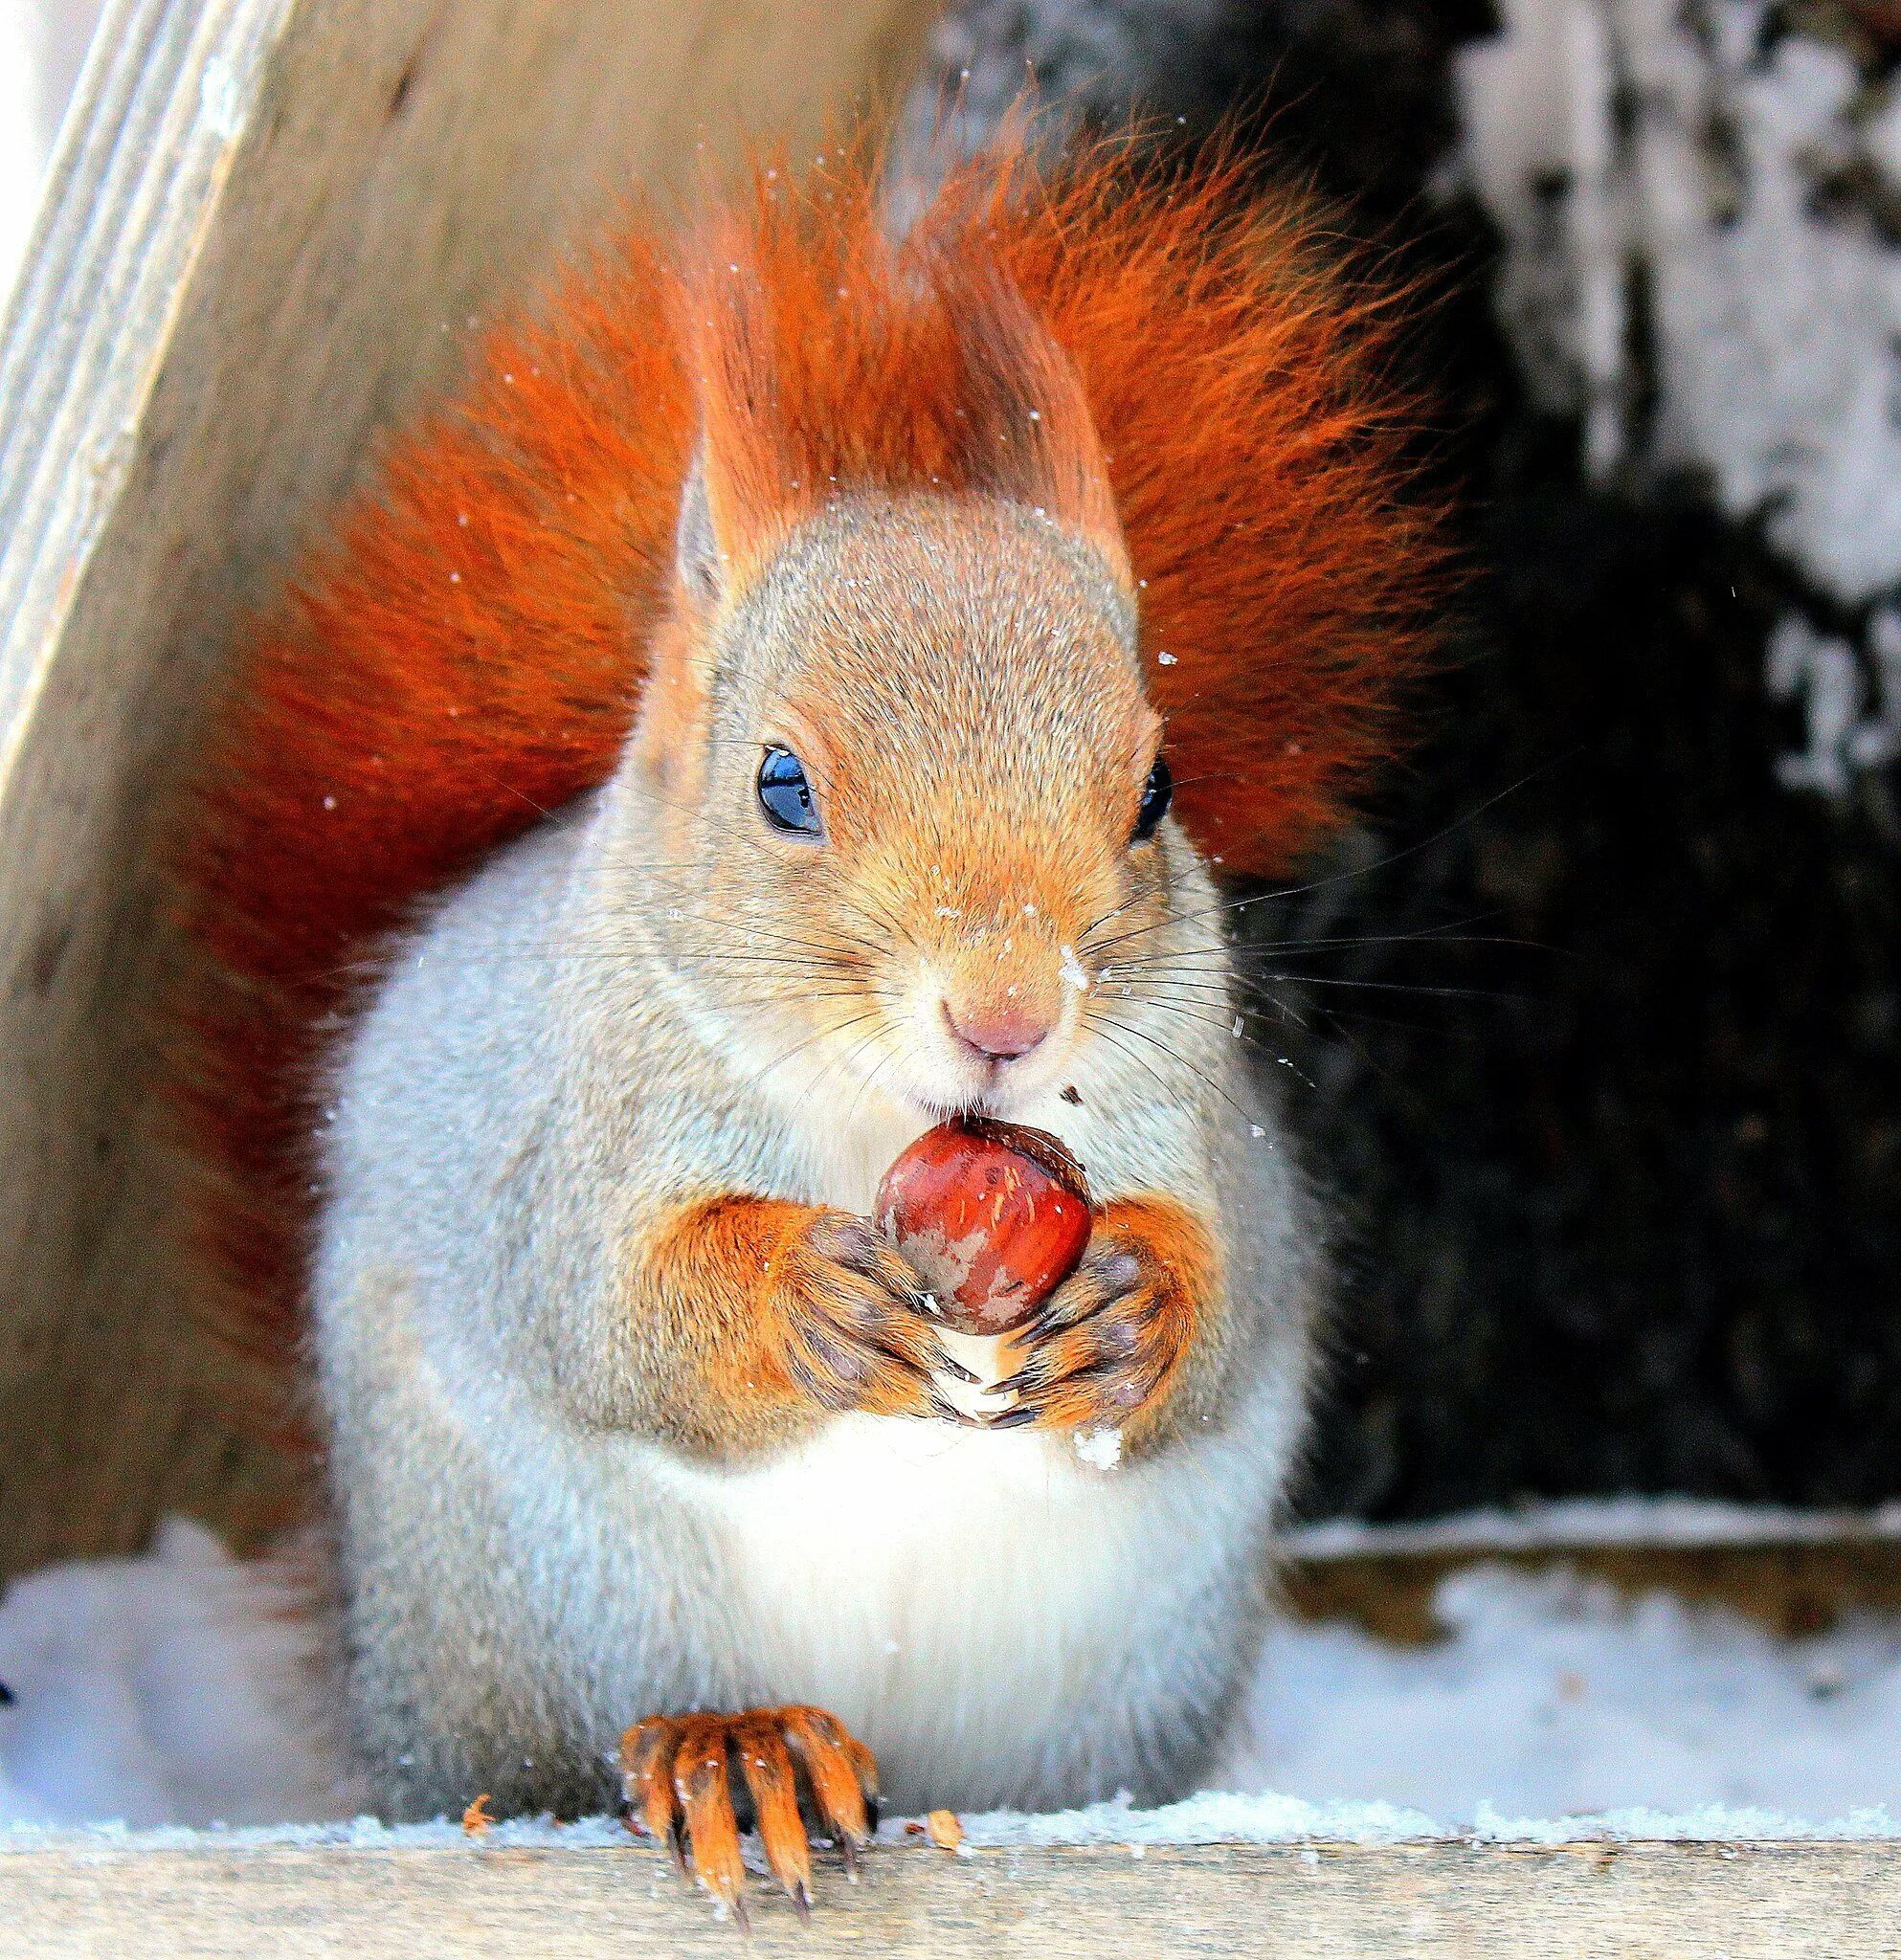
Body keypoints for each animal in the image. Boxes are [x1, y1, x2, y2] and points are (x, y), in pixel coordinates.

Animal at [170, 134, 1426, 1912]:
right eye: (781, 785)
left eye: (1155, 790)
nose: (1008, 1013)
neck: (888, 1115)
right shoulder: (576, 1141)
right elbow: (611, 1316)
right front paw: (800, 1302)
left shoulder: (1198, 1121)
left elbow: (1230, 1290)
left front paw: (1137, 1307)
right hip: (553, 1598)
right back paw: (735, 1747)